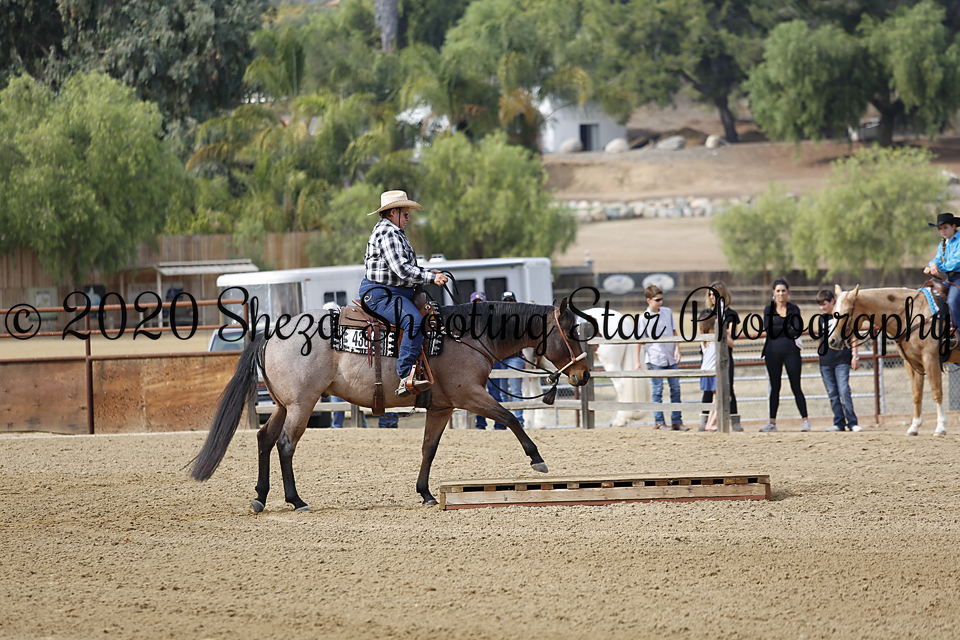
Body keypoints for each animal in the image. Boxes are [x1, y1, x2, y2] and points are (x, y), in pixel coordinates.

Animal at [190, 298, 595, 508]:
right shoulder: (470, 396)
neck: (468, 336)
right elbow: (510, 417)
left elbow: (428, 448)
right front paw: (537, 459)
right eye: (571, 331)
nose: (584, 374)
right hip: (302, 406)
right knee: (286, 445)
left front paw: (426, 493)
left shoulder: (442, 407)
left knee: (264, 439)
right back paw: (296, 499)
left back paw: (261, 497)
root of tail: (272, 332)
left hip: (283, 405)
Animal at [829, 284, 960, 436]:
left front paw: (940, 427)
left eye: (846, 313)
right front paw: (914, 426)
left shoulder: (930, 359)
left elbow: (936, 391)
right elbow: (917, 394)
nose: (832, 341)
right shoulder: (912, 363)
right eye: (833, 313)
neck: (913, 315)